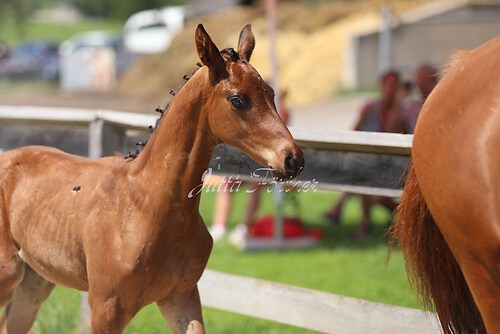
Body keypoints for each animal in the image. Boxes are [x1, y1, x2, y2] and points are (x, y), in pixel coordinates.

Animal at [0, 24, 304, 332]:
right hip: (9, 275)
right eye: (237, 99)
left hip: (34, 282)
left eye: (271, 93)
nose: (292, 160)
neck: (148, 207)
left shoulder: (181, 297)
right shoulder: (105, 308)